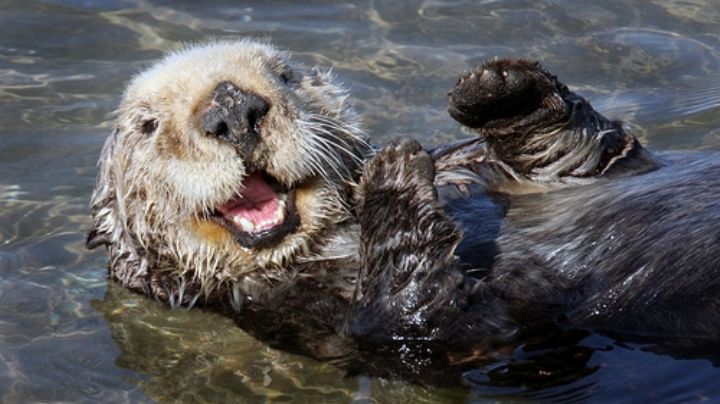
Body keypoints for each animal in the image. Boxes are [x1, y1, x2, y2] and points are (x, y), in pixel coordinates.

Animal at [88, 39, 720, 374]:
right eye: (147, 125)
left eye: (284, 75)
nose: (233, 108)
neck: (335, 241)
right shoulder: (312, 319)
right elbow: (421, 324)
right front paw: (390, 177)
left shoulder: (502, 169)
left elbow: (584, 147)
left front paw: (495, 86)